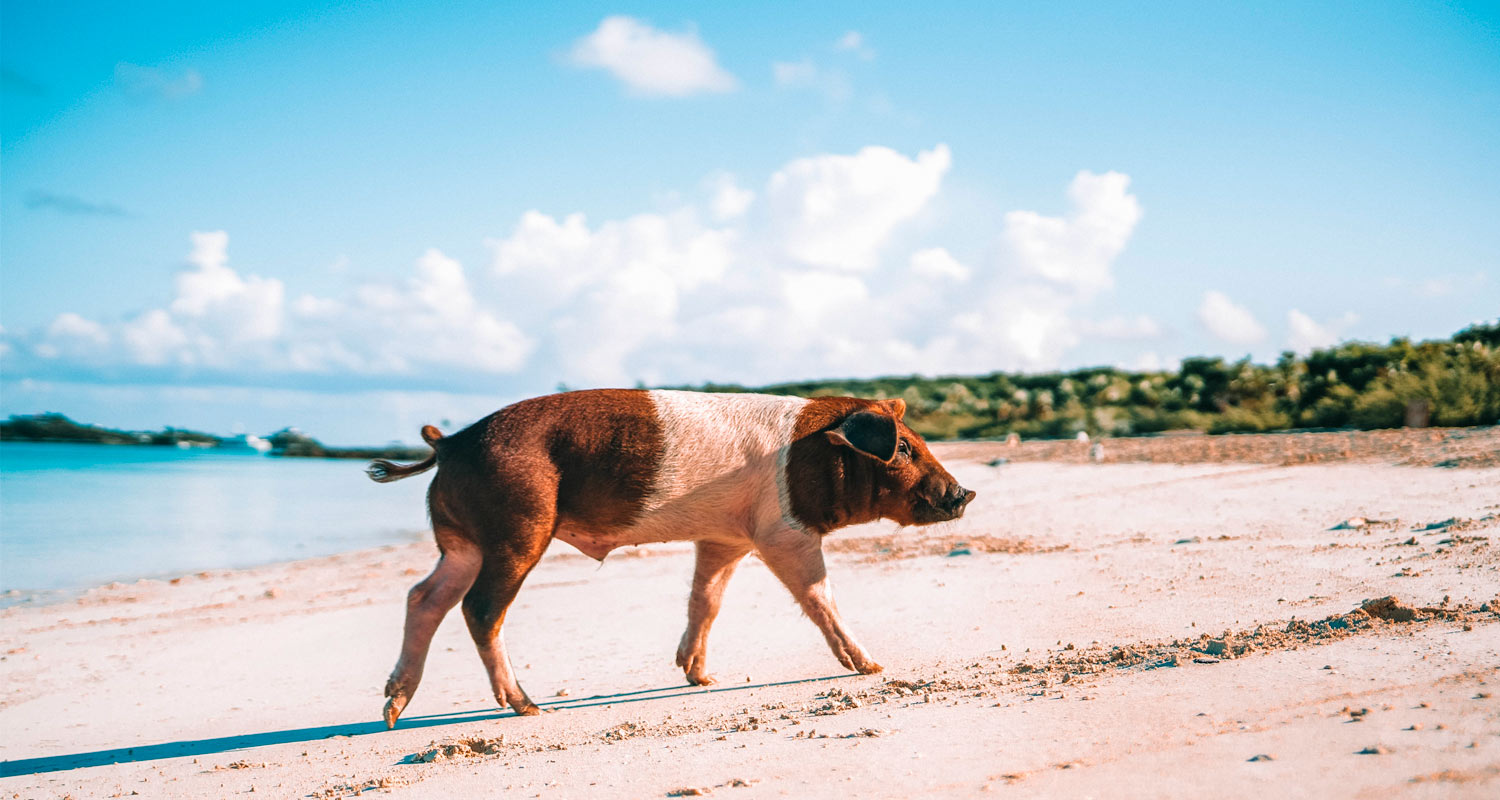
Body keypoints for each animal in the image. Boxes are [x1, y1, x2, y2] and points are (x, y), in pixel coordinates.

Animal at [363, 390, 972, 726]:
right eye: (902, 448)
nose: (964, 493)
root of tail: (448, 444)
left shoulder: (726, 537)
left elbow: (707, 599)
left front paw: (700, 678)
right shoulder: (782, 530)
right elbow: (819, 596)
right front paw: (873, 666)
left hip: (463, 543)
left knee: (425, 596)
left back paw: (393, 712)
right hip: (517, 528)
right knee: (481, 609)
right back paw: (531, 708)